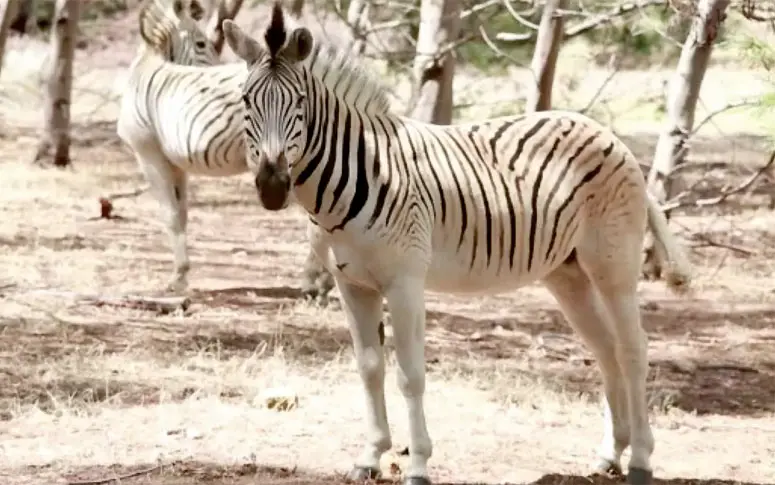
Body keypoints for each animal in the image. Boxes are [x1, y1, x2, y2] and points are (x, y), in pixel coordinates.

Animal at [115, 0, 334, 298]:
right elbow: (181, 213)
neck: (147, 68)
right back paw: (324, 280)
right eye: (200, 43)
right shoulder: (172, 162)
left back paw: (315, 280)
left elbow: (170, 215)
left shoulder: (148, 153)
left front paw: (178, 278)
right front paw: (182, 273)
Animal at [221, 5, 696, 484]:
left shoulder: (405, 281)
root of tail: (611, 137)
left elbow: (410, 375)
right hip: (569, 273)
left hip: (613, 267)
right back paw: (609, 454)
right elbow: (369, 368)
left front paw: (417, 464)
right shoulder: (351, 284)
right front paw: (370, 457)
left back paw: (640, 460)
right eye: (245, 101)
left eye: (299, 104)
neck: (353, 177)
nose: (272, 187)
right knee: (606, 349)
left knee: (633, 350)